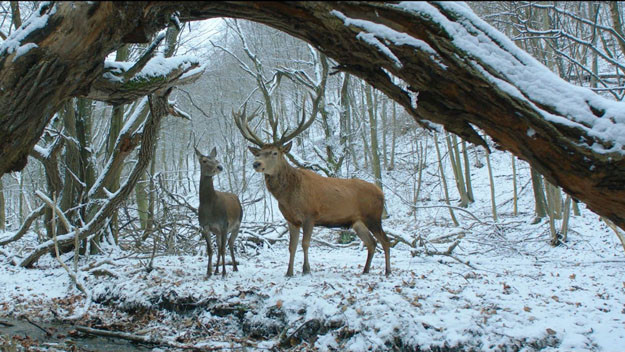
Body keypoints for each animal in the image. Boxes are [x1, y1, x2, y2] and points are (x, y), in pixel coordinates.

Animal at [196, 146, 243, 278]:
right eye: (204, 161)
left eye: (216, 159)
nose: (220, 167)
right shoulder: (205, 226)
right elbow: (210, 250)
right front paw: (208, 272)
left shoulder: (224, 224)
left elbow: (223, 249)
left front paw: (224, 272)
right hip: (217, 231)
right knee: (220, 245)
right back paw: (217, 270)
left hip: (237, 224)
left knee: (230, 244)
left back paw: (234, 267)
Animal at [234, 104, 390, 278]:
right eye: (259, 153)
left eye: (275, 153)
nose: (256, 164)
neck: (288, 197)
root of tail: (381, 192)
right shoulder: (291, 219)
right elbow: (292, 246)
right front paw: (289, 272)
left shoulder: (310, 215)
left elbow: (305, 243)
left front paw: (306, 270)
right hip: (357, 222)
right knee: (372, 243)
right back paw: (365, 270)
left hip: (373, 217)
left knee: (385, 241)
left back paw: (387, 271)